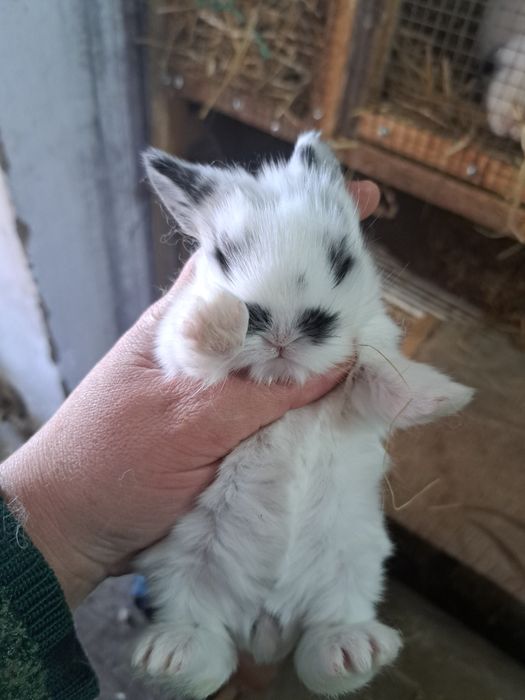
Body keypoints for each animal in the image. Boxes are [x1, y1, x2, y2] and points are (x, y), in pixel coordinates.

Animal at [132, 132, 473, 698]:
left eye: (342, 260)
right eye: (223, 256)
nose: (283, 331)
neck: (283, 382)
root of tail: (266, 626)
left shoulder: (361, 378)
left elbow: (383, 380)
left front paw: (449, 397)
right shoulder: (173, 356)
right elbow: (193, 346)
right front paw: (218, 319)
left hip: (352, 567)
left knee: (321, 651)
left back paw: (355, 649)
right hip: (178, 571)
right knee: (206, 645)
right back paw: (167, 655)